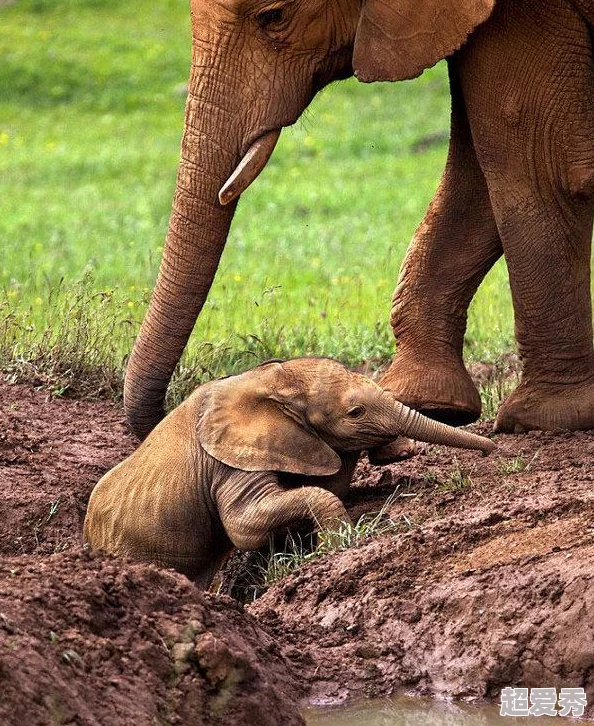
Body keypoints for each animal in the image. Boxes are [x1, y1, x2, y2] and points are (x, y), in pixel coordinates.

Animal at [83, 358, 490, 592]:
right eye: (355, 412)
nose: (491, 448)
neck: (271, 381)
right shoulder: (229, 461)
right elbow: (244, 526)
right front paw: (336, 545)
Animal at [123, 0, 592, 444]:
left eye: (273, 17)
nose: (171, 413)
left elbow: (542, 170)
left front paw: (547, 419)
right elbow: (477, 183)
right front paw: (425, 403)